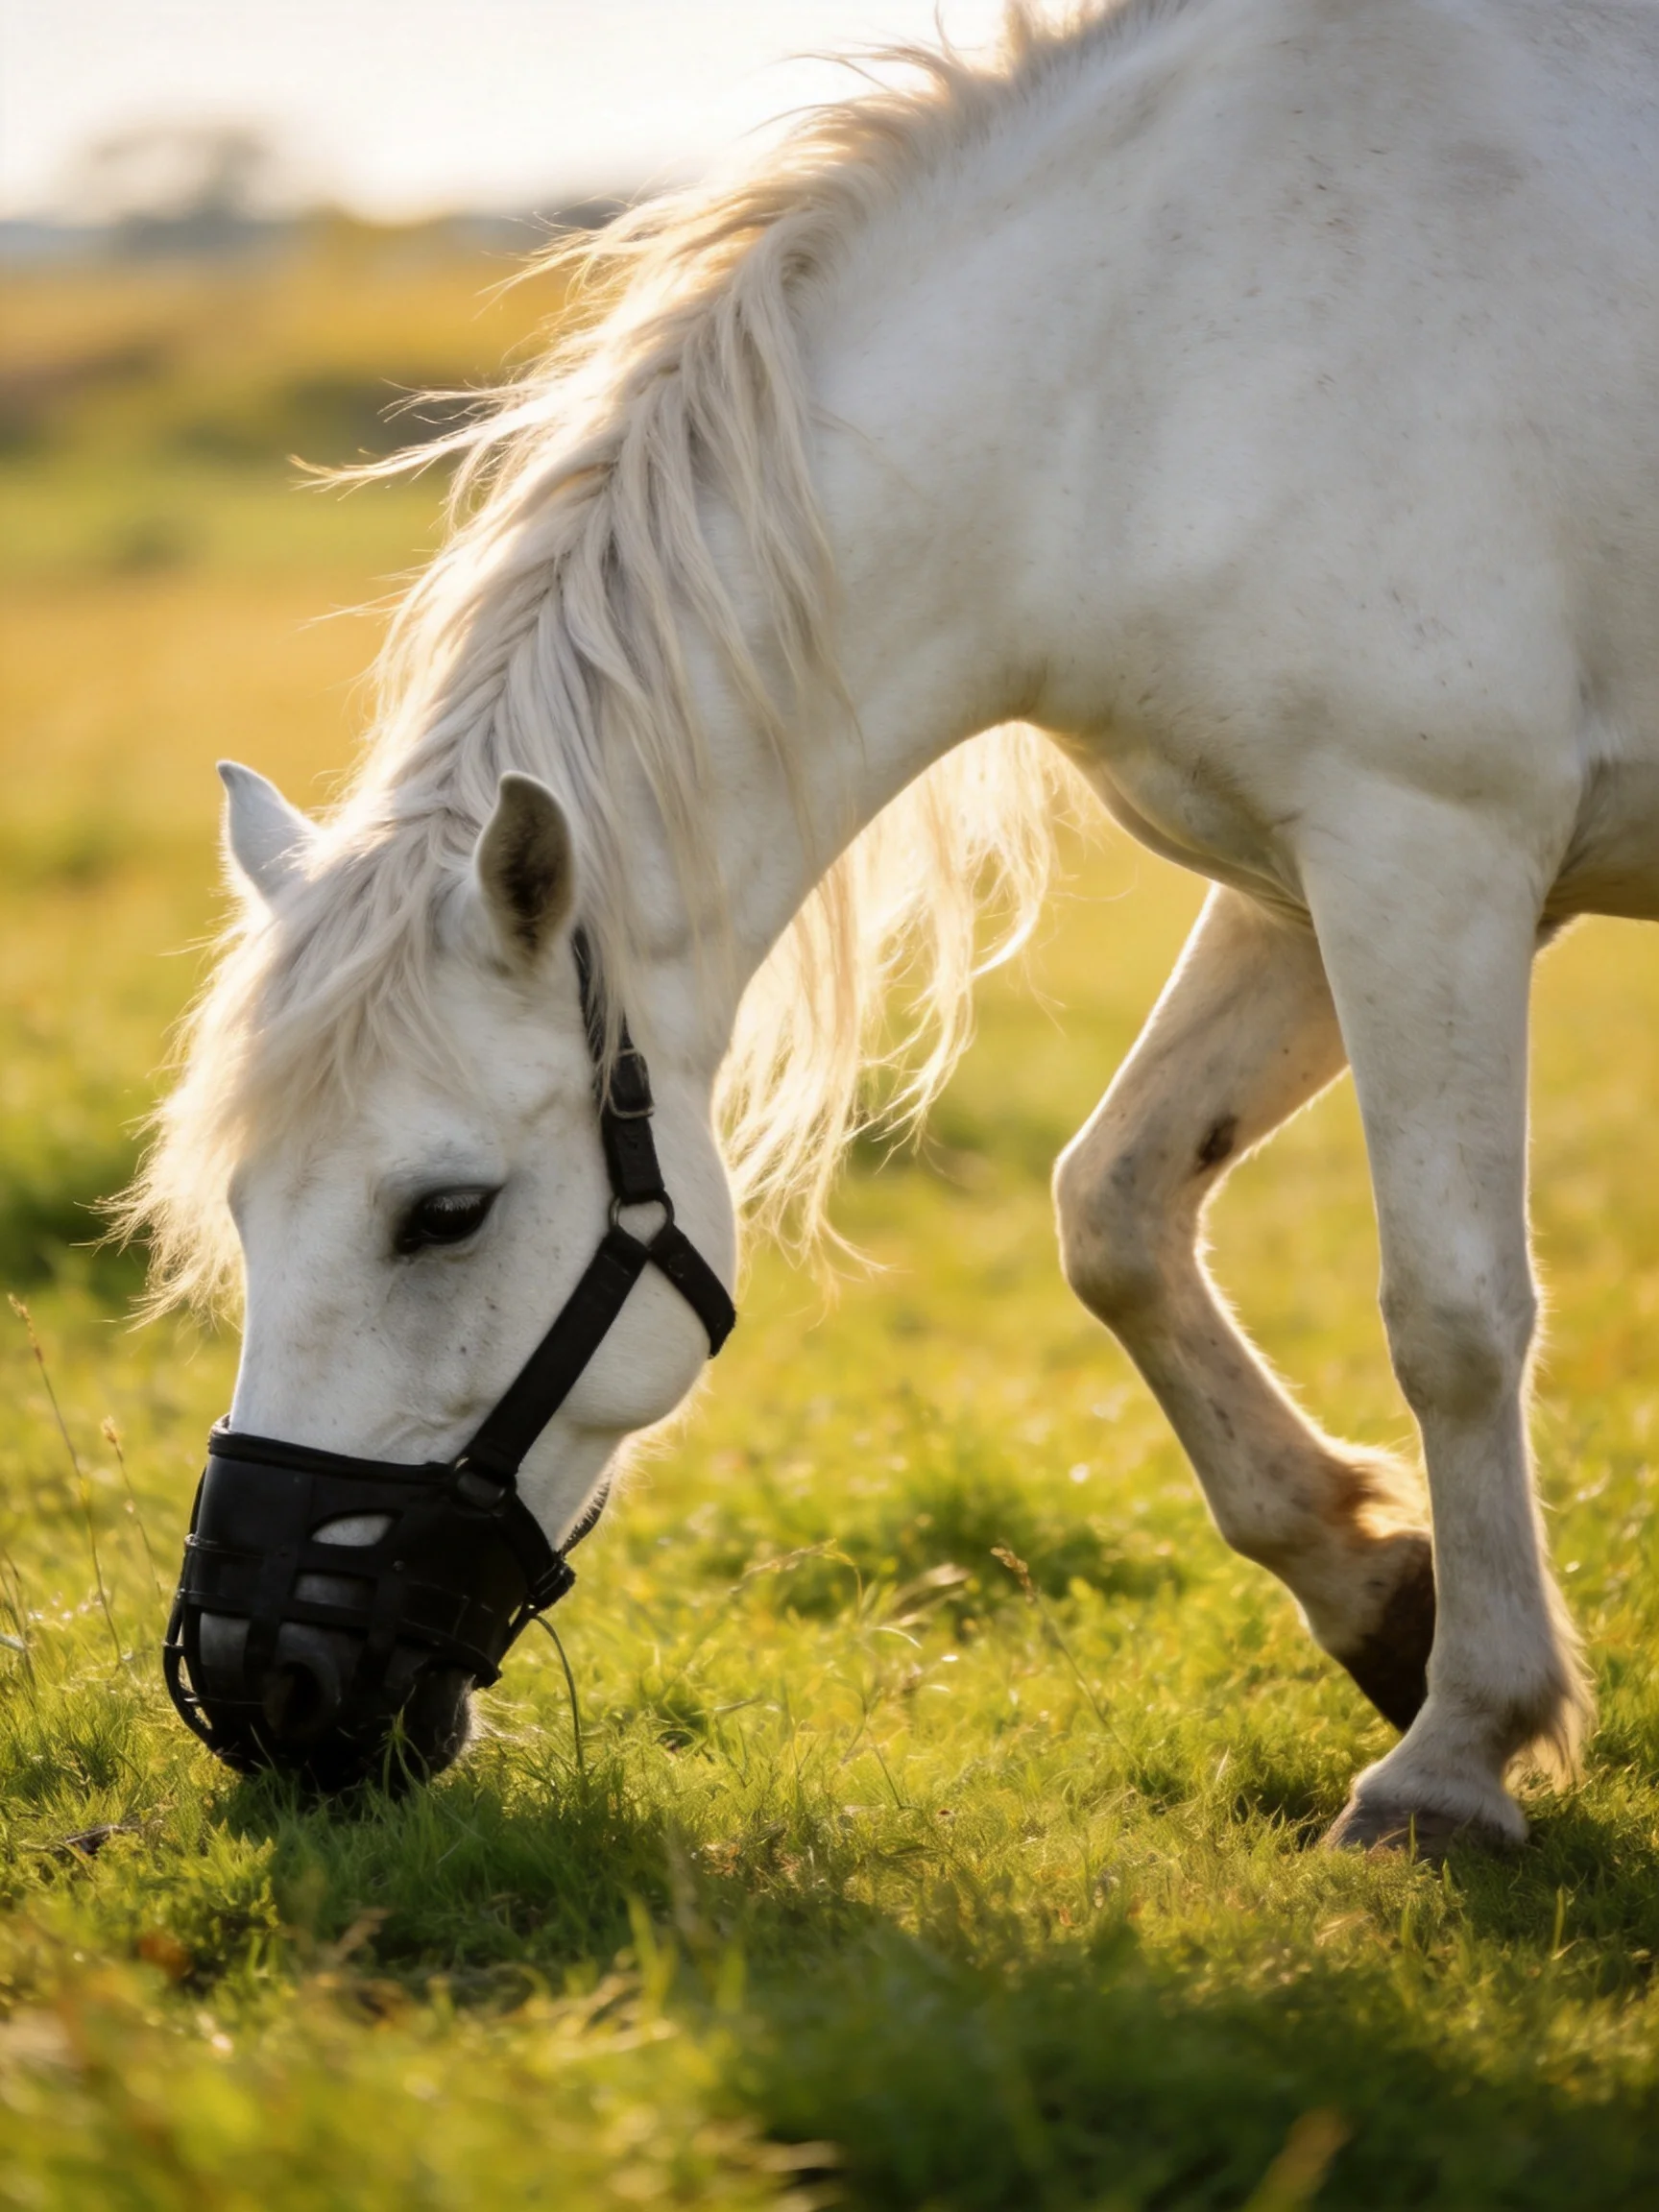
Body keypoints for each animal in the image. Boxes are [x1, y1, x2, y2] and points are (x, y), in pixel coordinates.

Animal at [131, 0, 1659, 1847]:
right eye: (239, 1208)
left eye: (445, 1213)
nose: (255, 1684)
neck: (1142, 364)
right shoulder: (1300, 879)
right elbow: (1114, 1211)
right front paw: (1380, 1593)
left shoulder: (1429, 849)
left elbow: (1451, 1309)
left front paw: (1454, 1751)